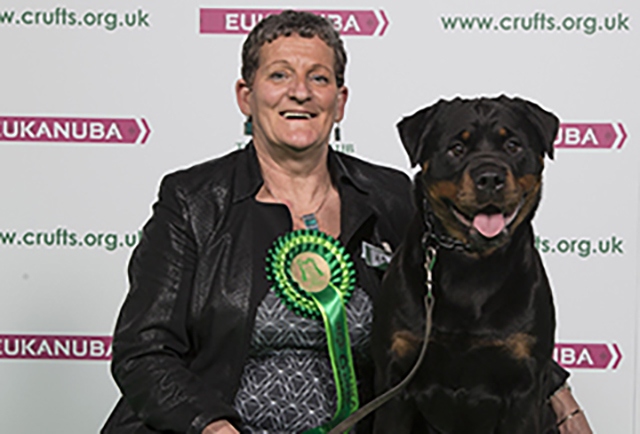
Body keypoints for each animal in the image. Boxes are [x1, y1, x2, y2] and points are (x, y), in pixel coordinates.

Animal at [372, 96, 564, 434]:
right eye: (456, 148)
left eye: (513, 145)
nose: (490, 177)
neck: (471, 269)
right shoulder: (395, 378)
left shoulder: (524, 386)